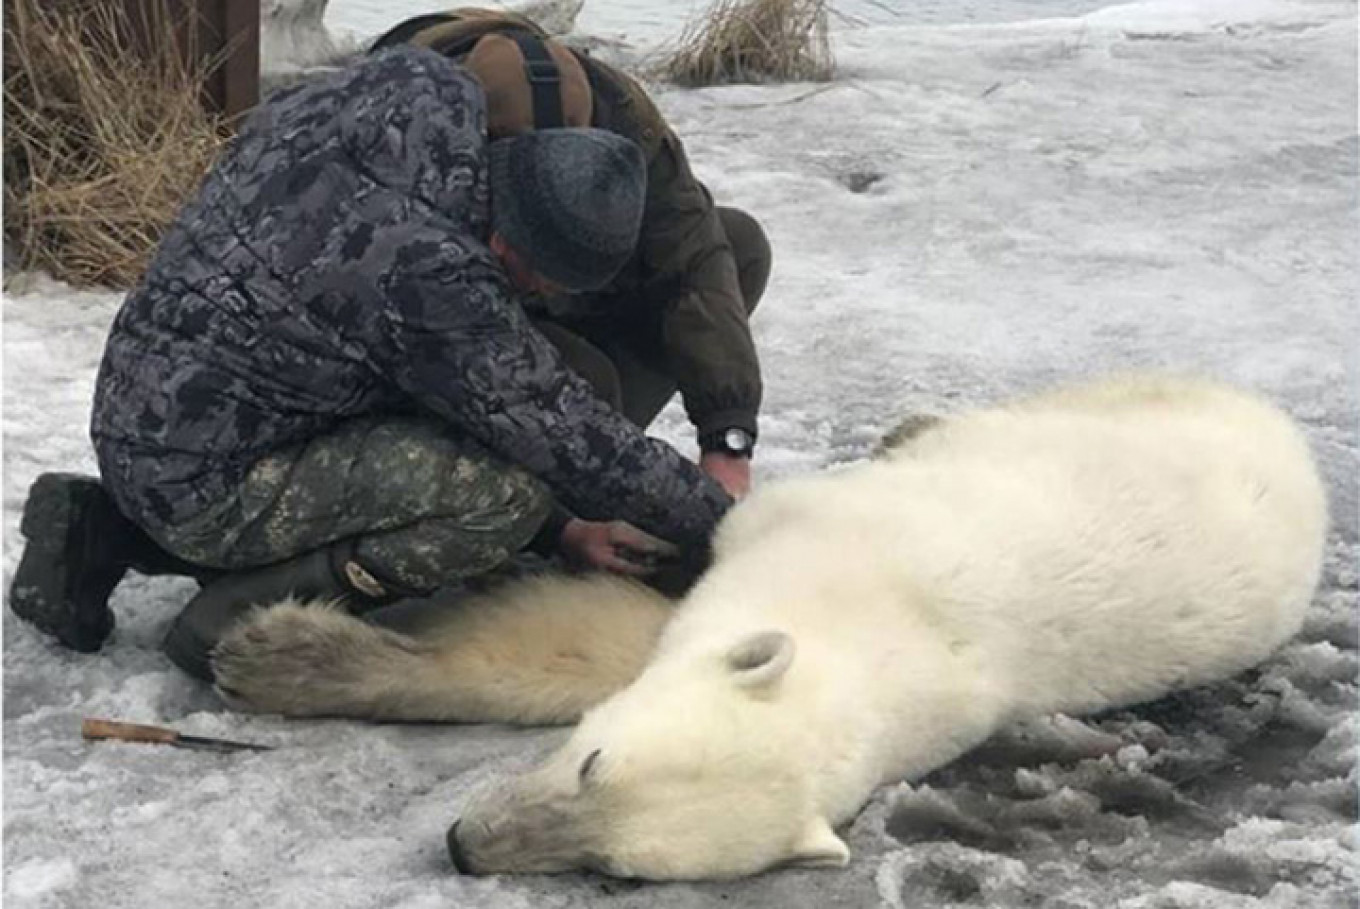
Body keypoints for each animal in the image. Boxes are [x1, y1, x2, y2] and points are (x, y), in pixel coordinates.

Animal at [214, 370, 1327, 881]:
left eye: (615, 871)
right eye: (593, 762)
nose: (463, 844)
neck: (876, 627)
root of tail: (1287, 433)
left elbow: (586, 646)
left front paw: (277, 654)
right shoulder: (801, 535)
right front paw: (271, 654)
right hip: (1116, 409)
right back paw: (909, 425)